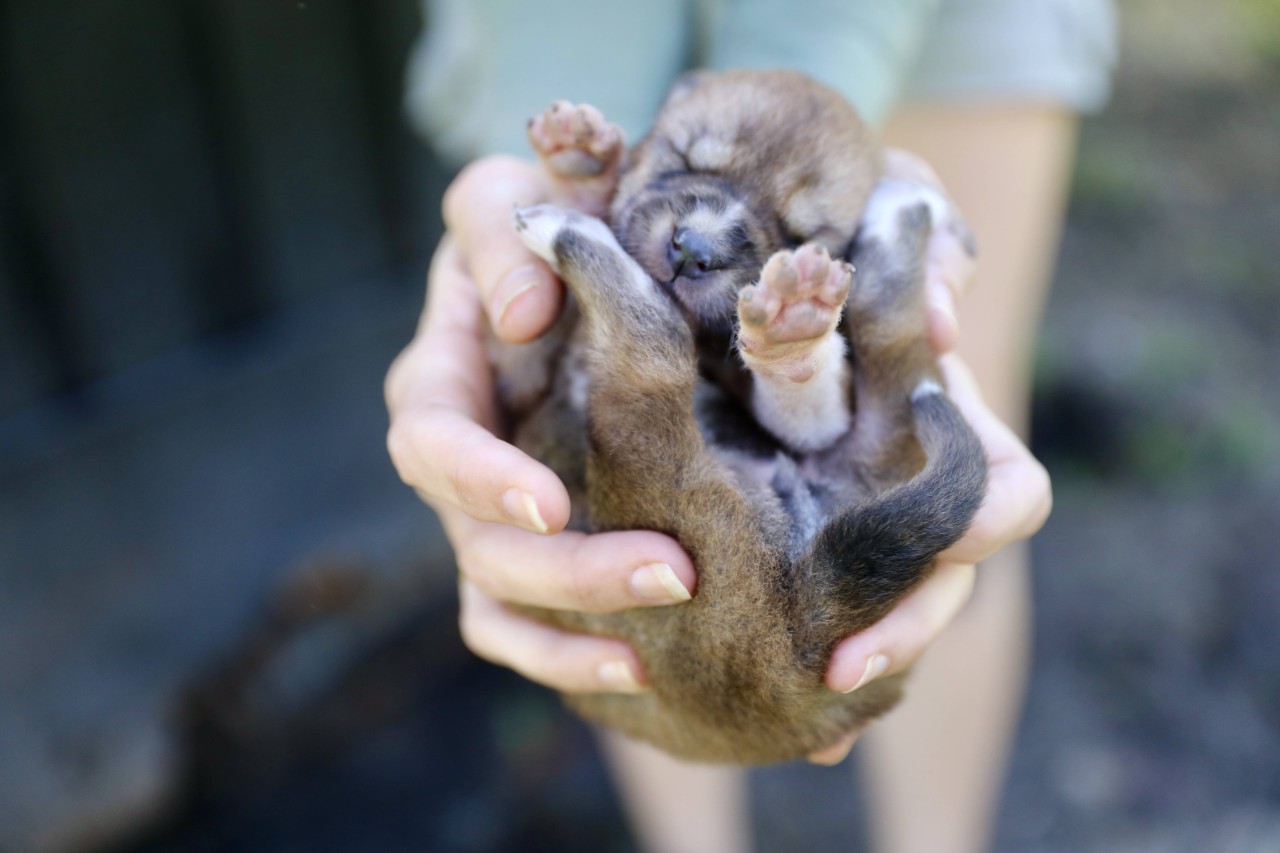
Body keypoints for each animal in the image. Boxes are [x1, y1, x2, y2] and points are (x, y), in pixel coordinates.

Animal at [486, 69, 977, 758]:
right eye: (686, 158)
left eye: (799, 232)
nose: (693, 249)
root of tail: (800, 622)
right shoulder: (521, 366)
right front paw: (576, 153)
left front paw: (790, 333)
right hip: (894, 417)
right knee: (887, 320)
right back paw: (902, 209)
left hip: (658, 479)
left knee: (652, 345)